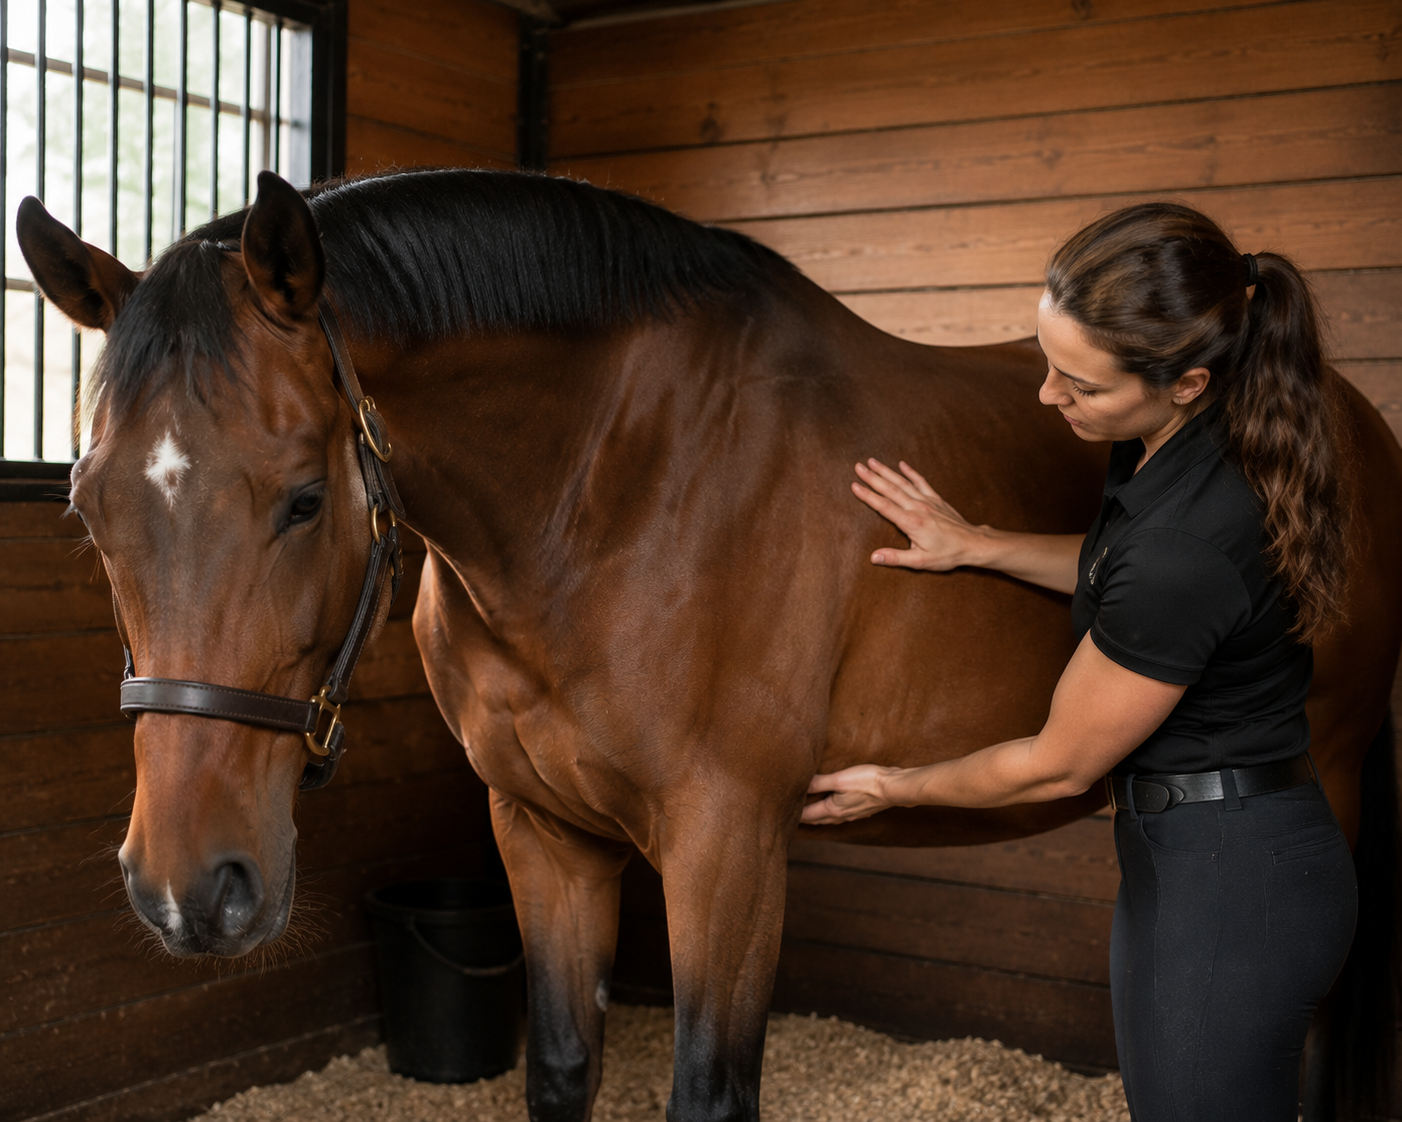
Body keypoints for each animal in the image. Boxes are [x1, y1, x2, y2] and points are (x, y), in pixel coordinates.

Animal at [18, 168, 1402, 1122]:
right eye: (86, 507)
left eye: (305, 498)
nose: (189, 891)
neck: (609, 488)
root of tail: (1337, 416)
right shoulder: (542, 833)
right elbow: (560, 1065)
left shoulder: (726, 844)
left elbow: (710, 1090)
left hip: (1326, 768)